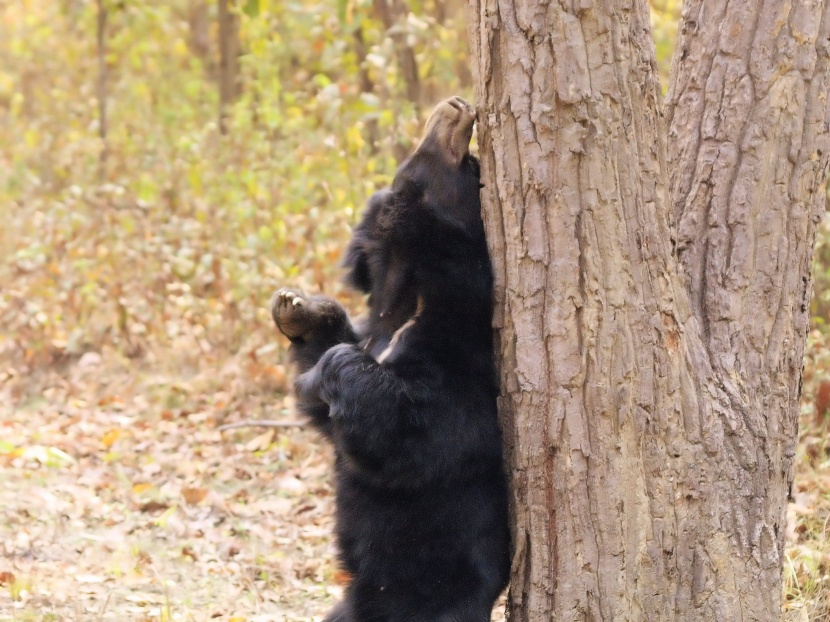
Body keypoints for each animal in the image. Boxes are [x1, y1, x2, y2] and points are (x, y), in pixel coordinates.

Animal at [272, 96, 508, 622]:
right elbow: (326, 413)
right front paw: (298, 308)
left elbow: (409, 428)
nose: (457, 105)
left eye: (471, 167)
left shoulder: (460, 358)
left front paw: (334, 365)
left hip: (429, 594)